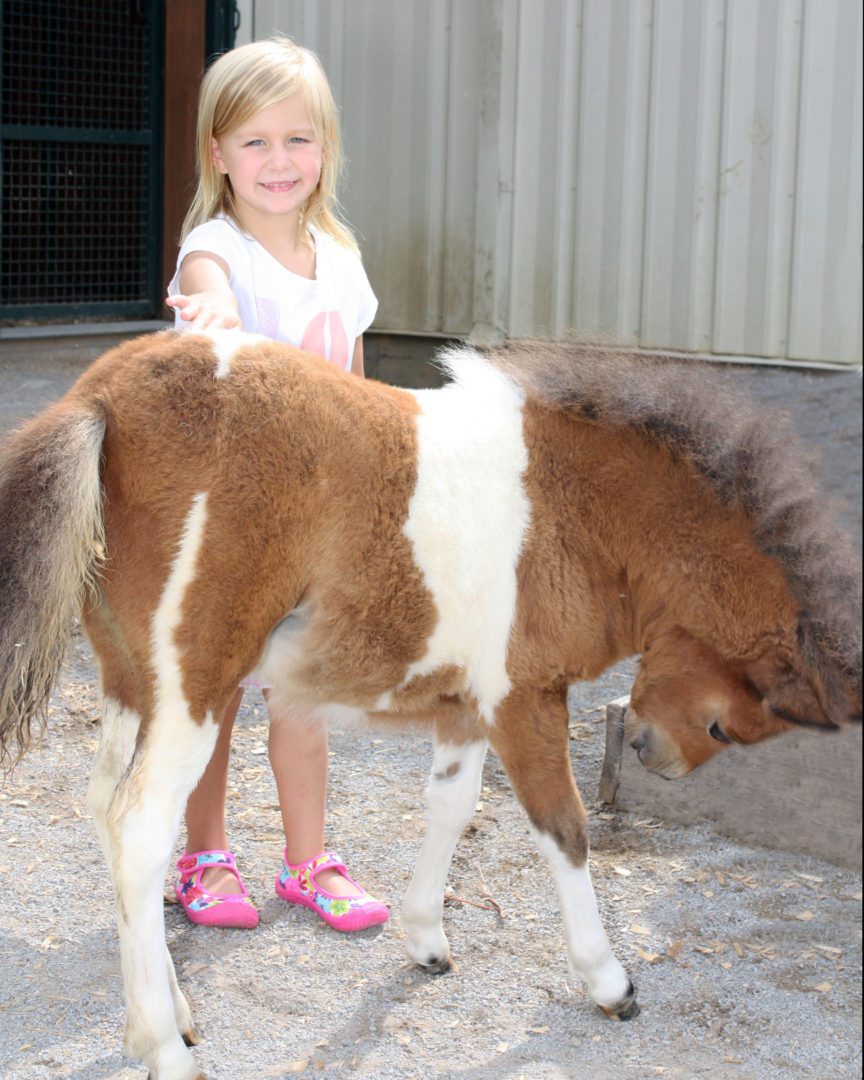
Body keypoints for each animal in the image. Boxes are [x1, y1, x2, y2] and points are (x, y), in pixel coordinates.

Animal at [0, 331, 859, 1080]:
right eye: (724, 725)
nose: (652, 751)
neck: (574, 511)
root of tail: (101, 397)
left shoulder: (465, 704)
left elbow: (451, 805)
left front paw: (426, 940)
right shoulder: (524, 697)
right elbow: (565, 829)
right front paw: (609, 982)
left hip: (131, 682)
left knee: (104, 809)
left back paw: (173, 1016)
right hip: (195, 685)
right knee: (141, 827)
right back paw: (163, 1046)